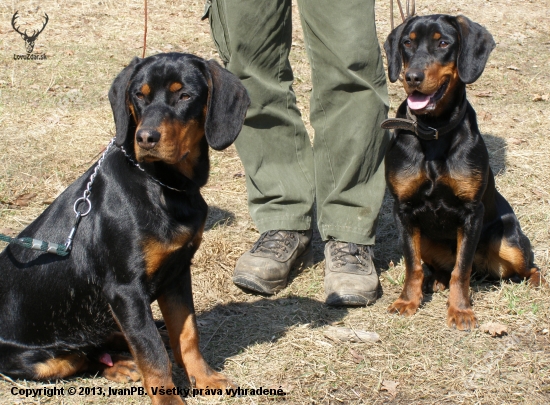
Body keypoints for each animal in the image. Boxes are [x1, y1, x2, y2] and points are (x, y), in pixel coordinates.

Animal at [0, 52, 250, 402]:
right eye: (139, 96)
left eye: (185, 96)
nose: (145, 138)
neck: (162, 185)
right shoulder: (125, 289)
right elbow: (153, 356)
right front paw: (169, 400)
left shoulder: (177, 272)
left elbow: (187, 333)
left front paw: (205, 378)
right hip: (41, 359)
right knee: (81, 356)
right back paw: (119, 364)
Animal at [384, 14, 548, 330]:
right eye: (407, 42)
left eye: (443, 43)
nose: (412, 77)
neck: (434, 130)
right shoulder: (404, 210)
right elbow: (413, 264)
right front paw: (407, 301)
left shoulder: (472, 212)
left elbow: (461, 269)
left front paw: (460, 310)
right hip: (429, 241)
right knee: (438, 268)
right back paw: (435, 282)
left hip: (509, 242)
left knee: (528, 266)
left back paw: (536, 283)